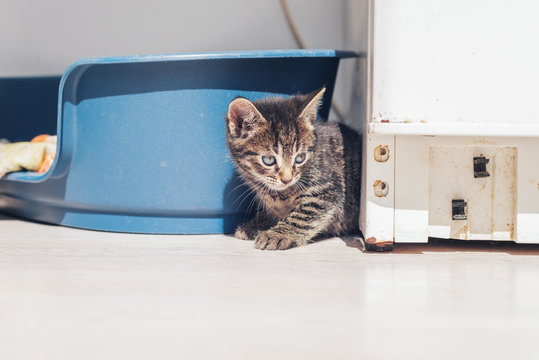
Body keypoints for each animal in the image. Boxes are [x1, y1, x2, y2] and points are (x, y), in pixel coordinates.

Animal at [226, 87, 360, 250]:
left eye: (300, 158)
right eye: (269, 160)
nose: (287, 179)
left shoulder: (327, 190)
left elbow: (302, 216)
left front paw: (277, 234)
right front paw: (256, 224)